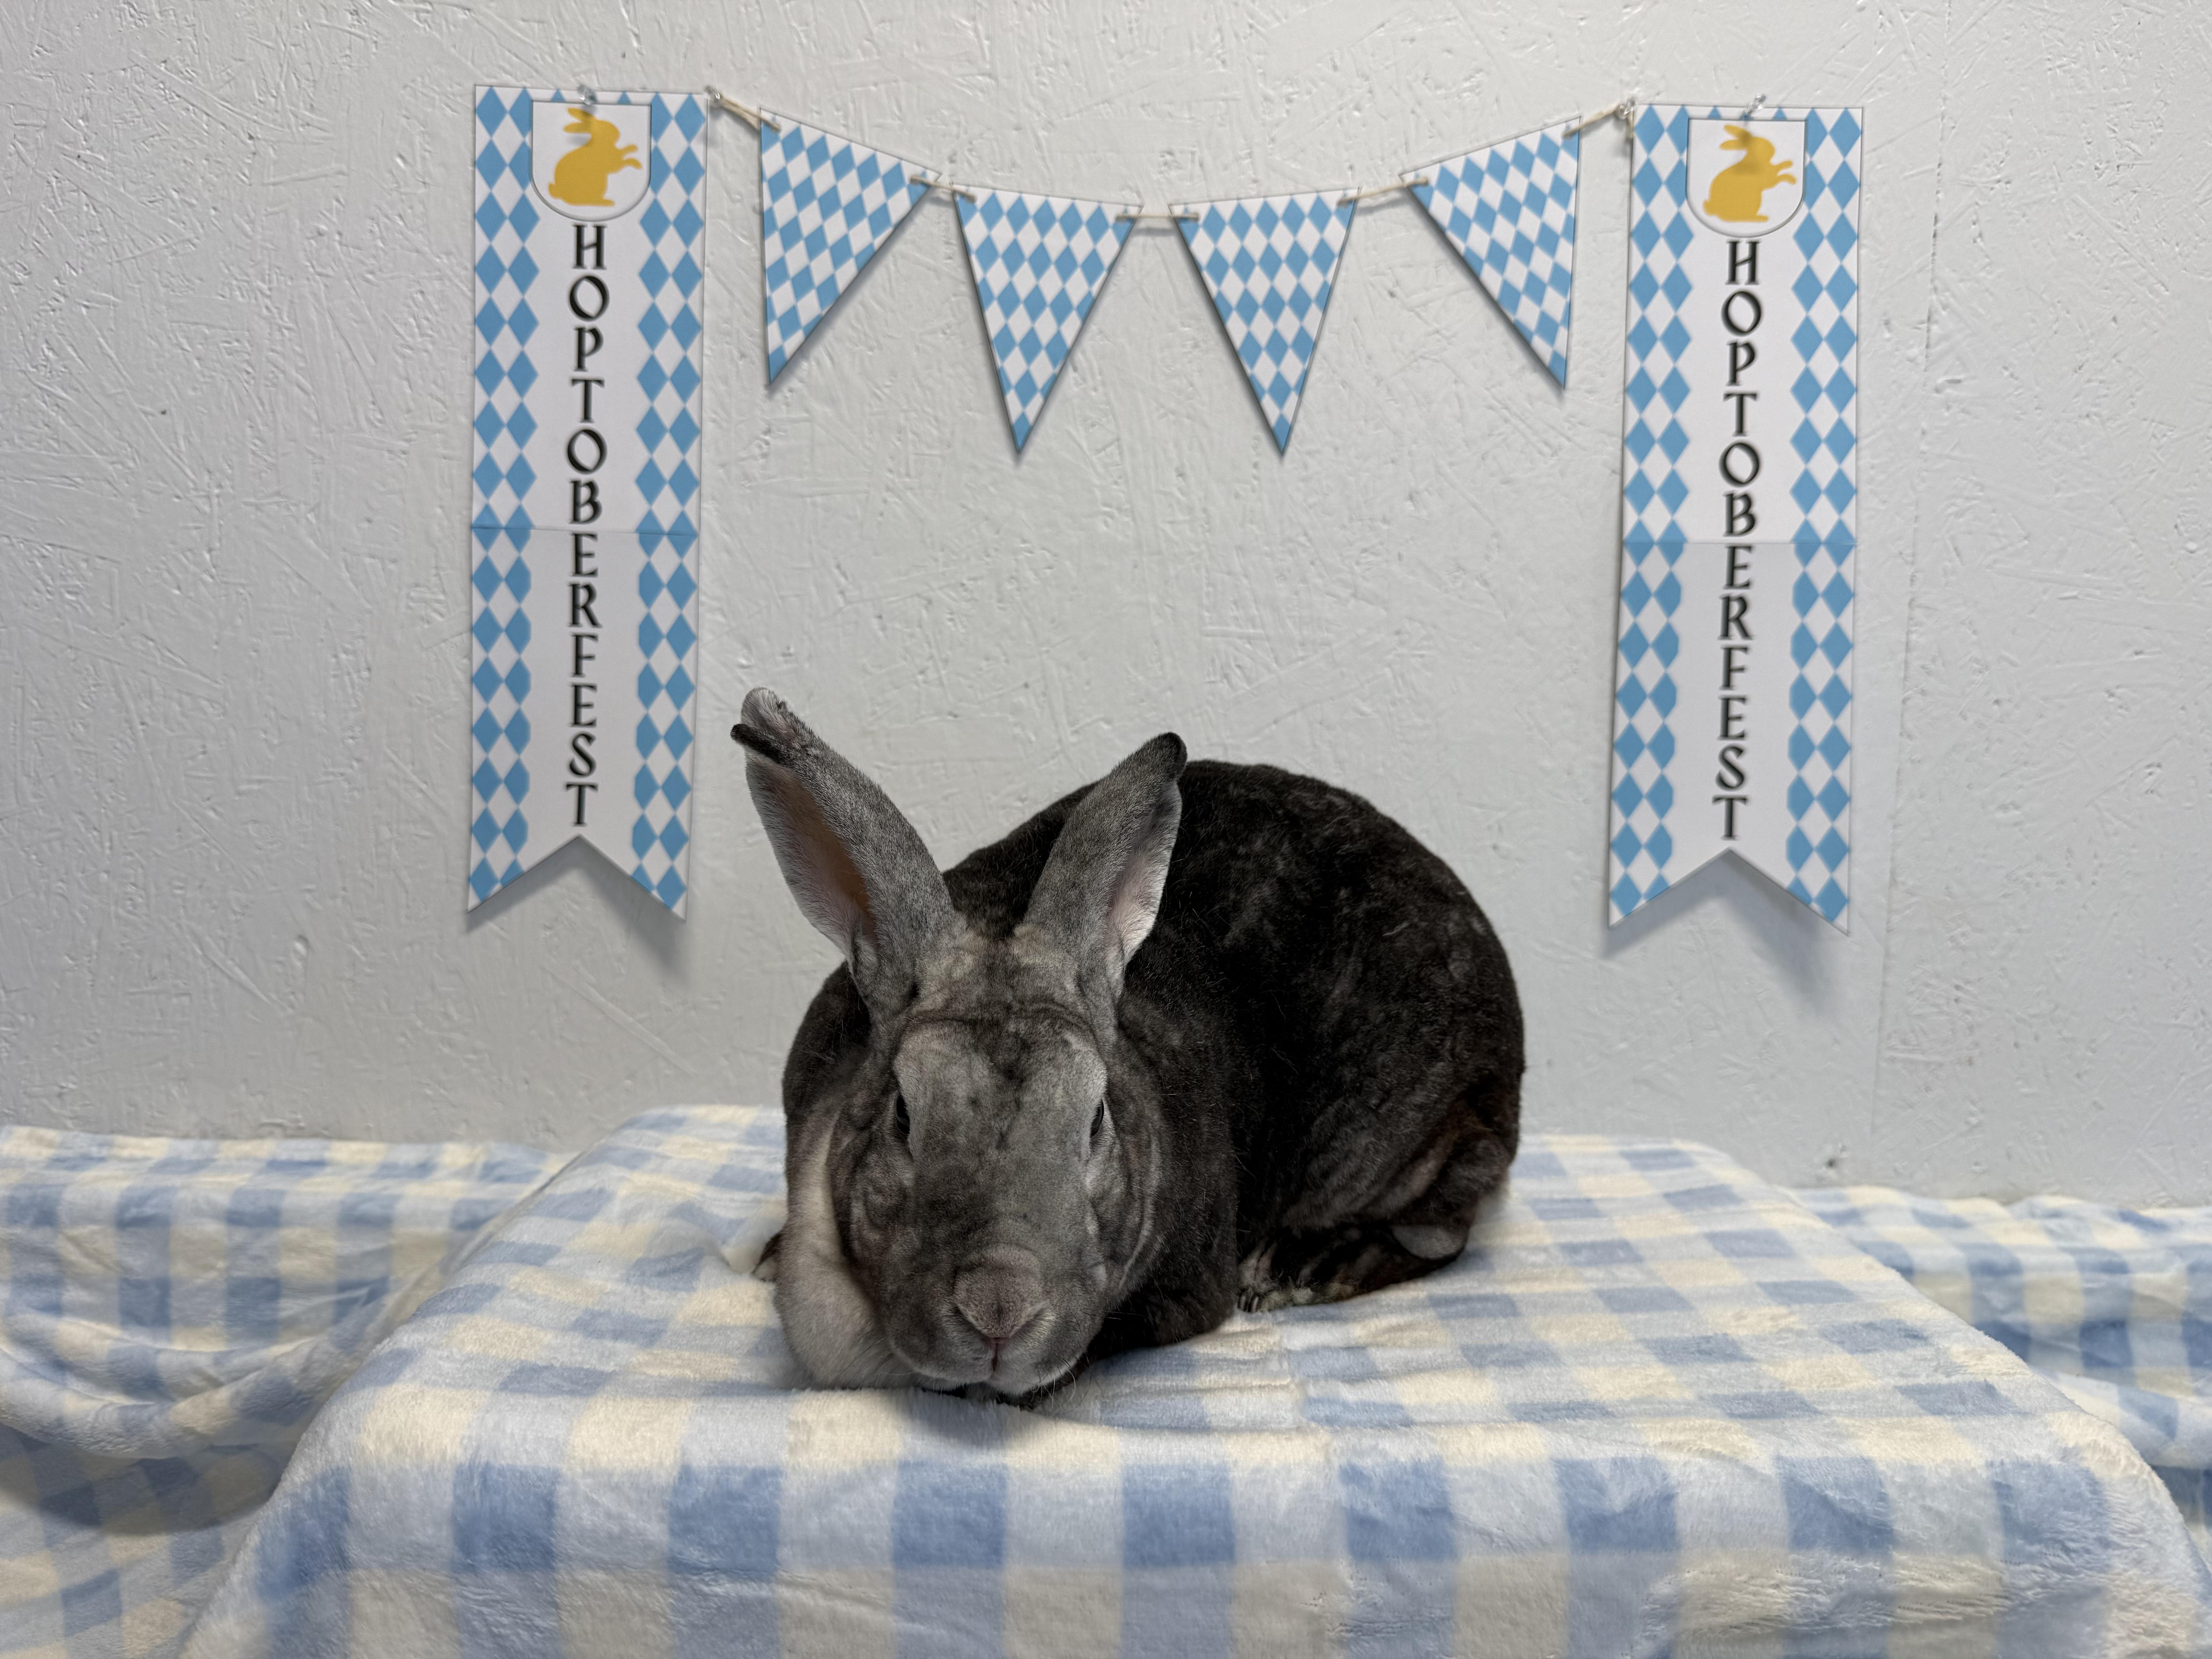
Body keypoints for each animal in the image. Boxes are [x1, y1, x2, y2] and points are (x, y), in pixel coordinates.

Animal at [734, 689, 1522, 1400]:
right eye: (903, 1115)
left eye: (1096, 1119)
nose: (999, 1309)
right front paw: (768, 1258)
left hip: (1412, 1140)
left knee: (1440, 1233)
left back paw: (1306, 1265)